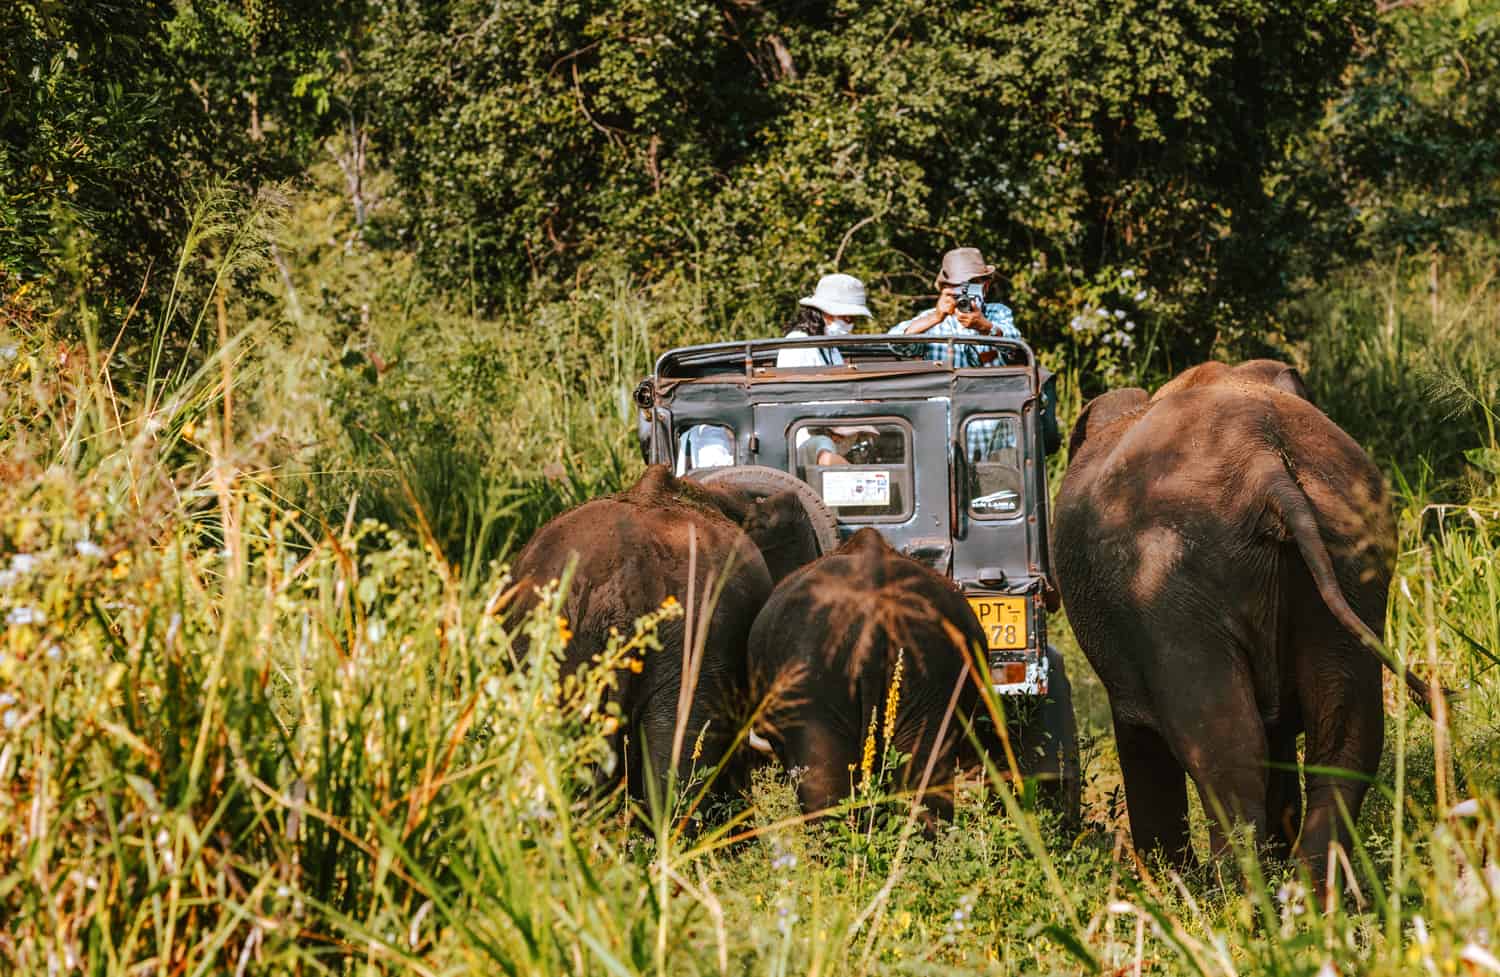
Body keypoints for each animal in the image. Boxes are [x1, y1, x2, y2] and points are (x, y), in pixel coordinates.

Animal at [1050, 358, 1434, 876]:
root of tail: (1265, 464)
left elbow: (1140, 739)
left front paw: (1168, 880)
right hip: (1351, 553)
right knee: (1344, 739)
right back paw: (1304, 891)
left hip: (1167, 581)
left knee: (1226, 750)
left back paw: (1231, 891)